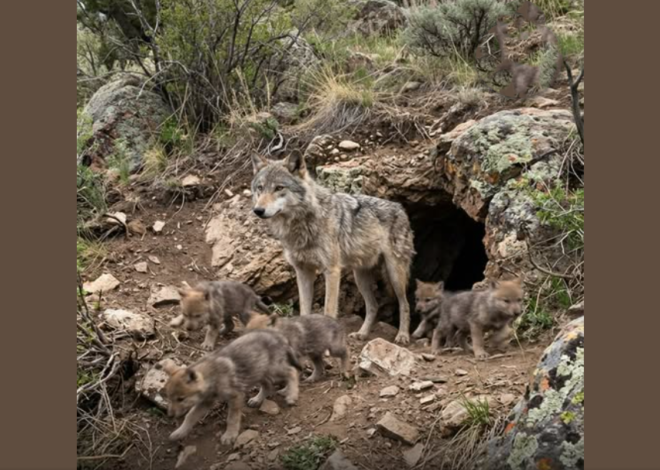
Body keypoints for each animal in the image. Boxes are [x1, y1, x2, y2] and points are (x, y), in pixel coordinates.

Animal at [158, 329, 301, 445]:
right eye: (169, 398)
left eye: (181, 399)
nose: (169, 415)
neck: (212, 376)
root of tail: (279, 336)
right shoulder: (205, 402)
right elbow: (190, 416)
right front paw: (179, 432)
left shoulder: (235, 397)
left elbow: (232, 418)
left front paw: (230, 435)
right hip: (260, 372)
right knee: (268, 386)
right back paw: (257, 399)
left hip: (273, 370)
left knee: (292, 371)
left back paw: (291, 395)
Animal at [250, 145, 415, 344]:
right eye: (260, 188)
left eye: (279, 188)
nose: (258, 210)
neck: (303, 224)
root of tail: (400, 208)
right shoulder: (303, 271)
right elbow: (304, 310)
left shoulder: (332, 271)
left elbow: (329, 310)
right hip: (360, 277)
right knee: (373, 306)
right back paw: (362, 334)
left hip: (395, 273)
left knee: (404, 303)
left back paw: (402, 336)